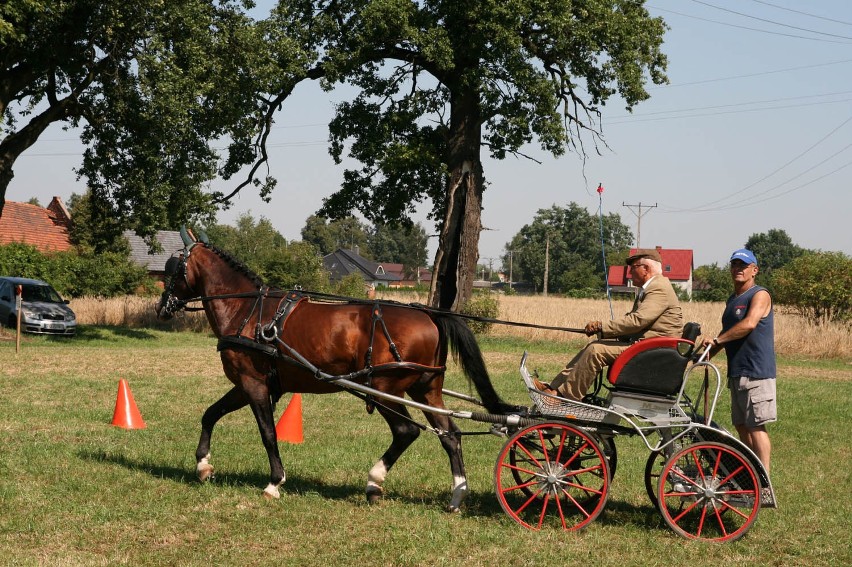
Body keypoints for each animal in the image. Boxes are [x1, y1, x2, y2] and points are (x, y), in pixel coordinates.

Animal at [156, 229, 510, 512]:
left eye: (172, 268)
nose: (161, 307)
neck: (245, 309)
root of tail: (428, 314)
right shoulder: (246, 385)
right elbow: (210, 414)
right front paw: (203, 466)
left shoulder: (253, 383)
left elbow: (268, 432)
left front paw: (274, 482)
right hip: (425, 389)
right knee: (449, 434)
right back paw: (456, 495)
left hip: (386, 389)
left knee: (406, 431)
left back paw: (374, 481)